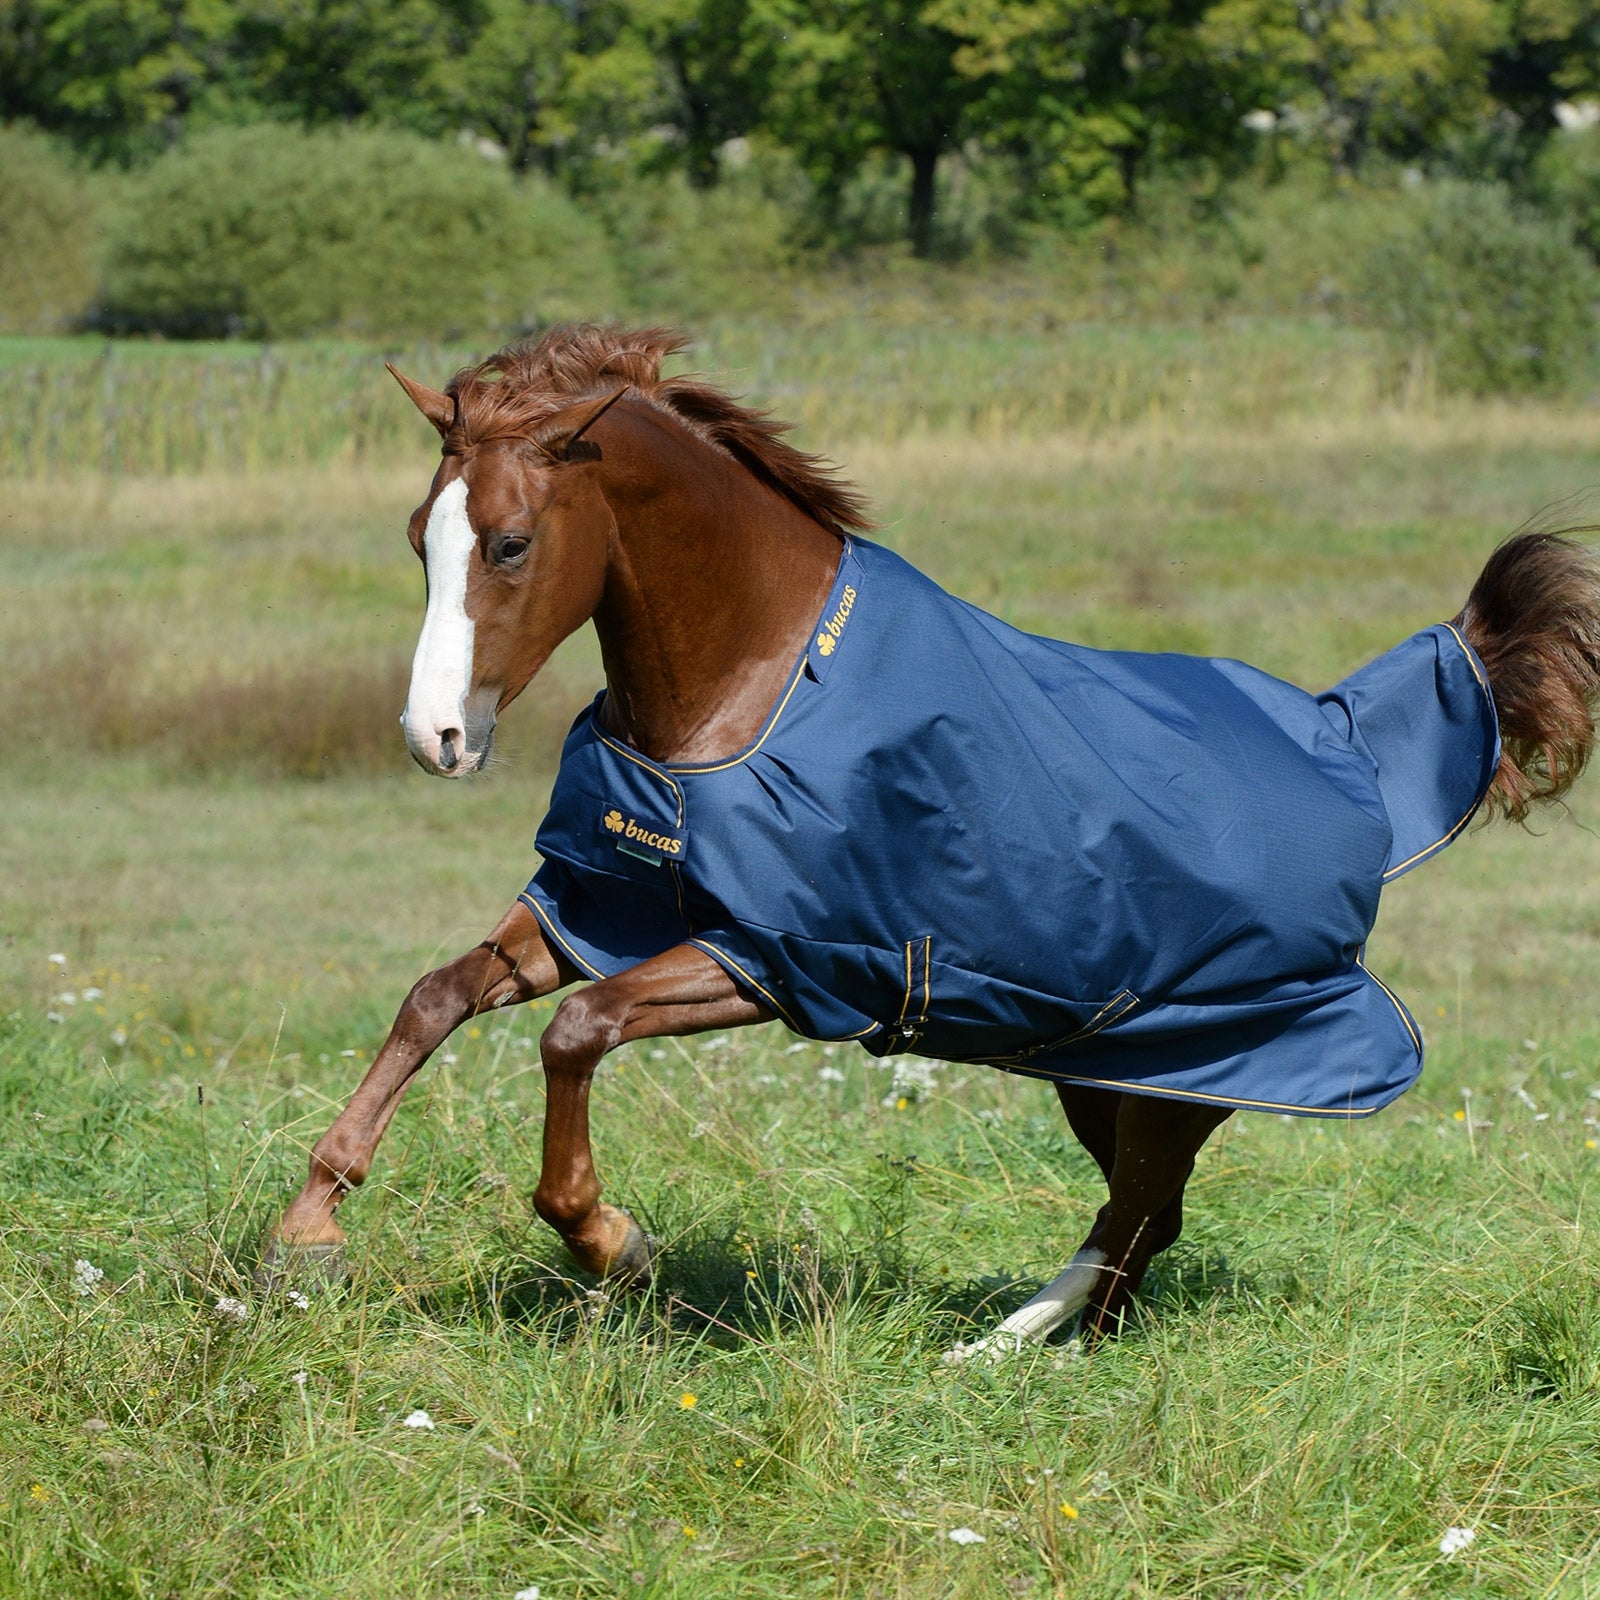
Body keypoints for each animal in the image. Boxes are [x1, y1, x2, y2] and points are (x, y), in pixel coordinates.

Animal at [263, 325, 1600, 1357]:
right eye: (416, 536)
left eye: (511, 543)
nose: (435, 736)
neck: (750, 684)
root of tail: (1350, 752)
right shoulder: (607, 905)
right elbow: (438, 995)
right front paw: (308, 1228)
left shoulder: (787, 959)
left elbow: (575, 1031)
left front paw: (609, 1239)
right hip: (1108, 1065)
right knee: (1145, 1215)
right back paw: (1056, 1338)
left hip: (1199, 1051)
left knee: (1139, 1211)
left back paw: (996, 1344)